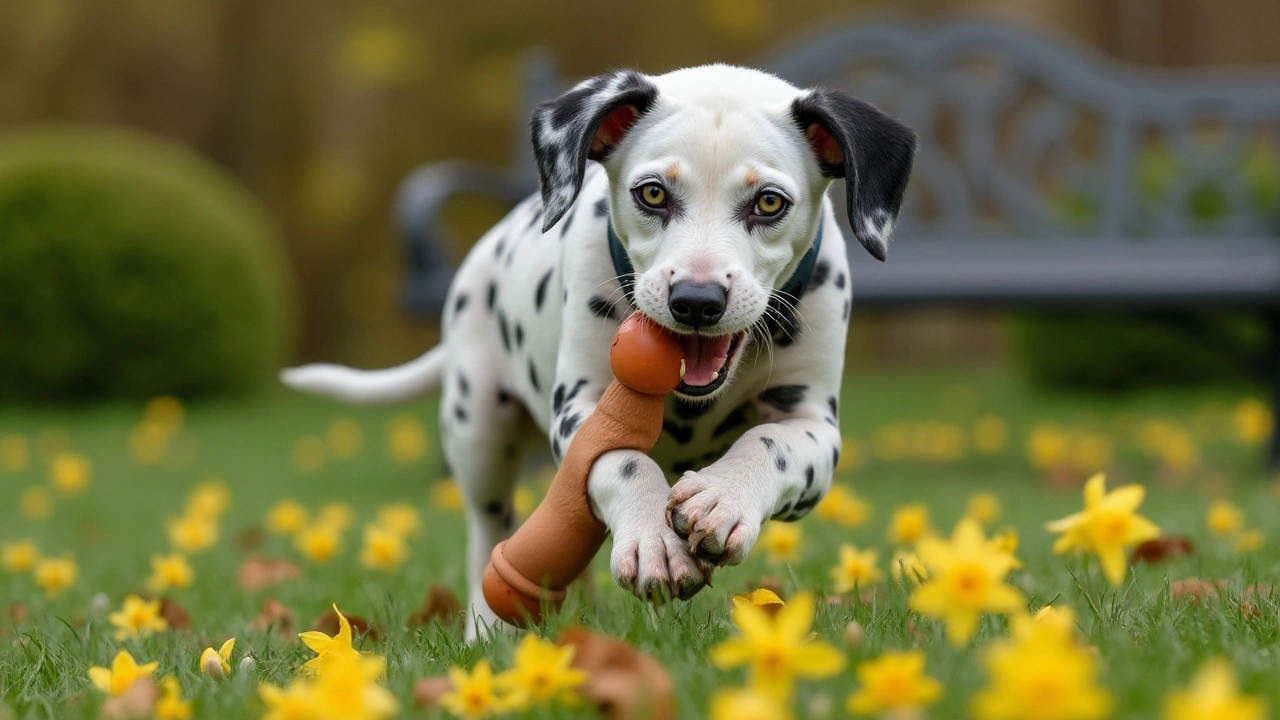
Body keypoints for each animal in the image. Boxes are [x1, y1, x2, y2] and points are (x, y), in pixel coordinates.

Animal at [285, 63, 916, 632]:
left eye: (768, 203)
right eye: (653, 193)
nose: (696, 300)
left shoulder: (814, 425)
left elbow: (770, 443)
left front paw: (724, 497)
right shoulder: (580, 408)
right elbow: (620, 458)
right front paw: (652, 538)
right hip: (478, 432)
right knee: (489, 534)